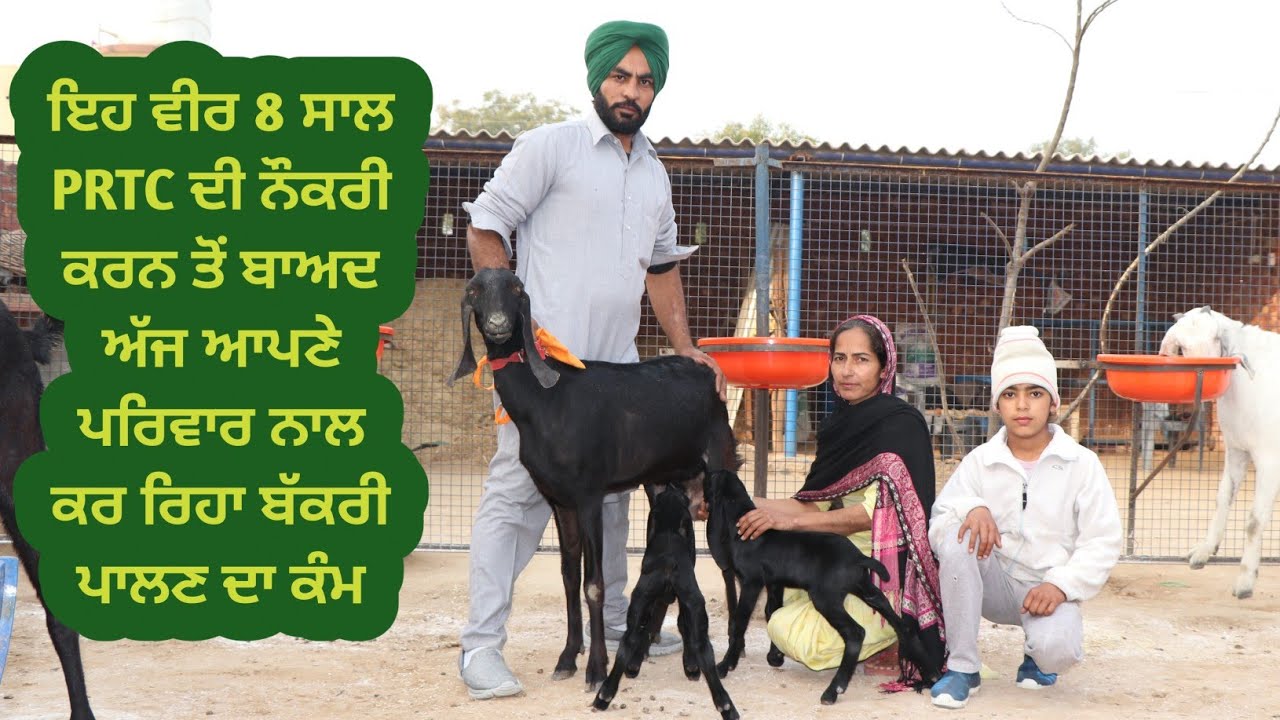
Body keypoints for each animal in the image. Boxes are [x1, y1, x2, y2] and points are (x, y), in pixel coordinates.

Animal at [593, 483, 738, 720]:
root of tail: (669, 562)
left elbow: (653, 624)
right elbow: (678, 623)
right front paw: (690, 666)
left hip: (640, 601)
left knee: (629, 640)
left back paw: (605, 694)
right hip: (692, 604)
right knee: (700, 646)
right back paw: (724, 703)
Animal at [1160, 305, 1280, 599]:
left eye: (1182, 350)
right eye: (1174, 347)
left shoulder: (1270, 460)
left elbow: (1254, 520)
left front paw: (1245, 581)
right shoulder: (1236, 450)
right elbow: (1222, 496)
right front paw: (1204, 551)